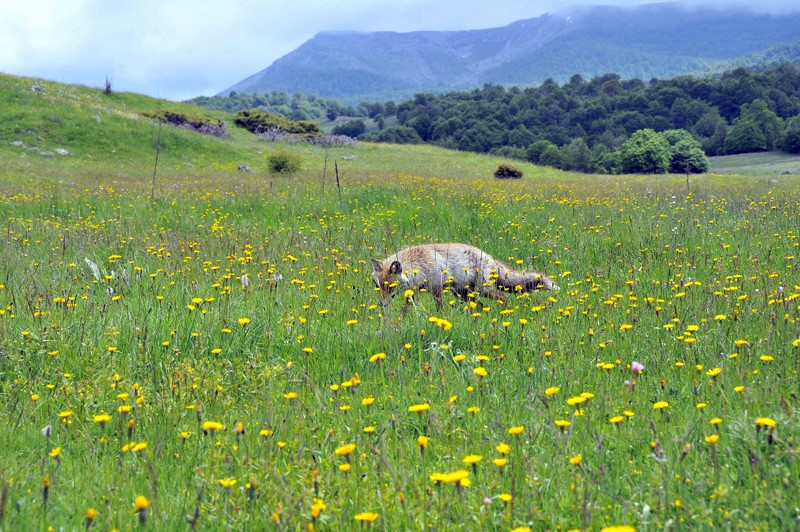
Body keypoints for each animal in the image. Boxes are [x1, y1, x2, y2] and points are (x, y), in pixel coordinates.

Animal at [372, 243, 560, 310]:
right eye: (378, 286)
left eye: (390, 287)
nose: (380, 304)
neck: (420, 266)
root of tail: (488, 256)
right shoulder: (415, 291)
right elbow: (405, 310)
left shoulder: (437, 289)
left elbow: (440, 310)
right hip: (462, 294)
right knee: (481, 305)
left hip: (483, 289)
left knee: (503, 297)